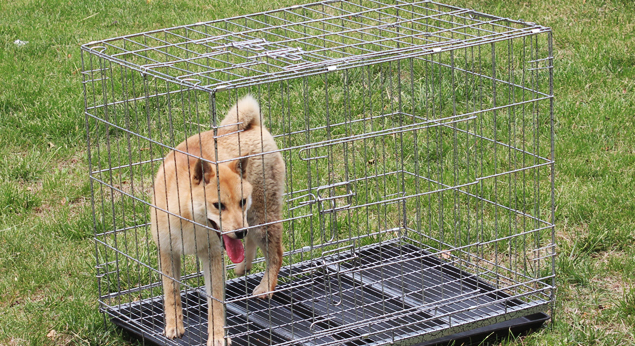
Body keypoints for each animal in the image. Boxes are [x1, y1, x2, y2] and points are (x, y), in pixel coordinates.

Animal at [150, 94, 284, 346]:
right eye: (218, 205)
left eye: (241, 201)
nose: (238, 232)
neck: (189, 222)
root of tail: (252, 126)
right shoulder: (167, 250)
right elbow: (171, 293)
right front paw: (174, 325)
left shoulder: (212, 256)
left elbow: (215, 304)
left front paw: (217, 336)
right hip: (253, 221)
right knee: (252, 244)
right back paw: (244, 265)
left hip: (259, 220)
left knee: (275, 255)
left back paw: (265, 286)